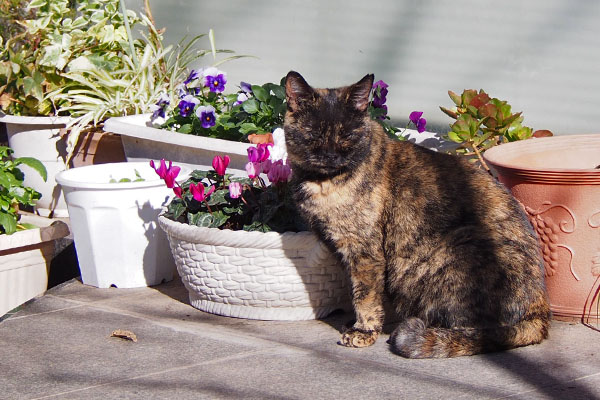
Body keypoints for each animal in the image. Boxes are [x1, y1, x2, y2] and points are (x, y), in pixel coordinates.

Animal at [284, 72, 552, 360]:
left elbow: (364, 294)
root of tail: (540, 312)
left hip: (456, 247)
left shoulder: (364, 250)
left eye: (348, 133)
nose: (331, 155)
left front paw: (364, 330)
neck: (322, 183)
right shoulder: (343, 248)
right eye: (313, 133)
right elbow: (360, 290)